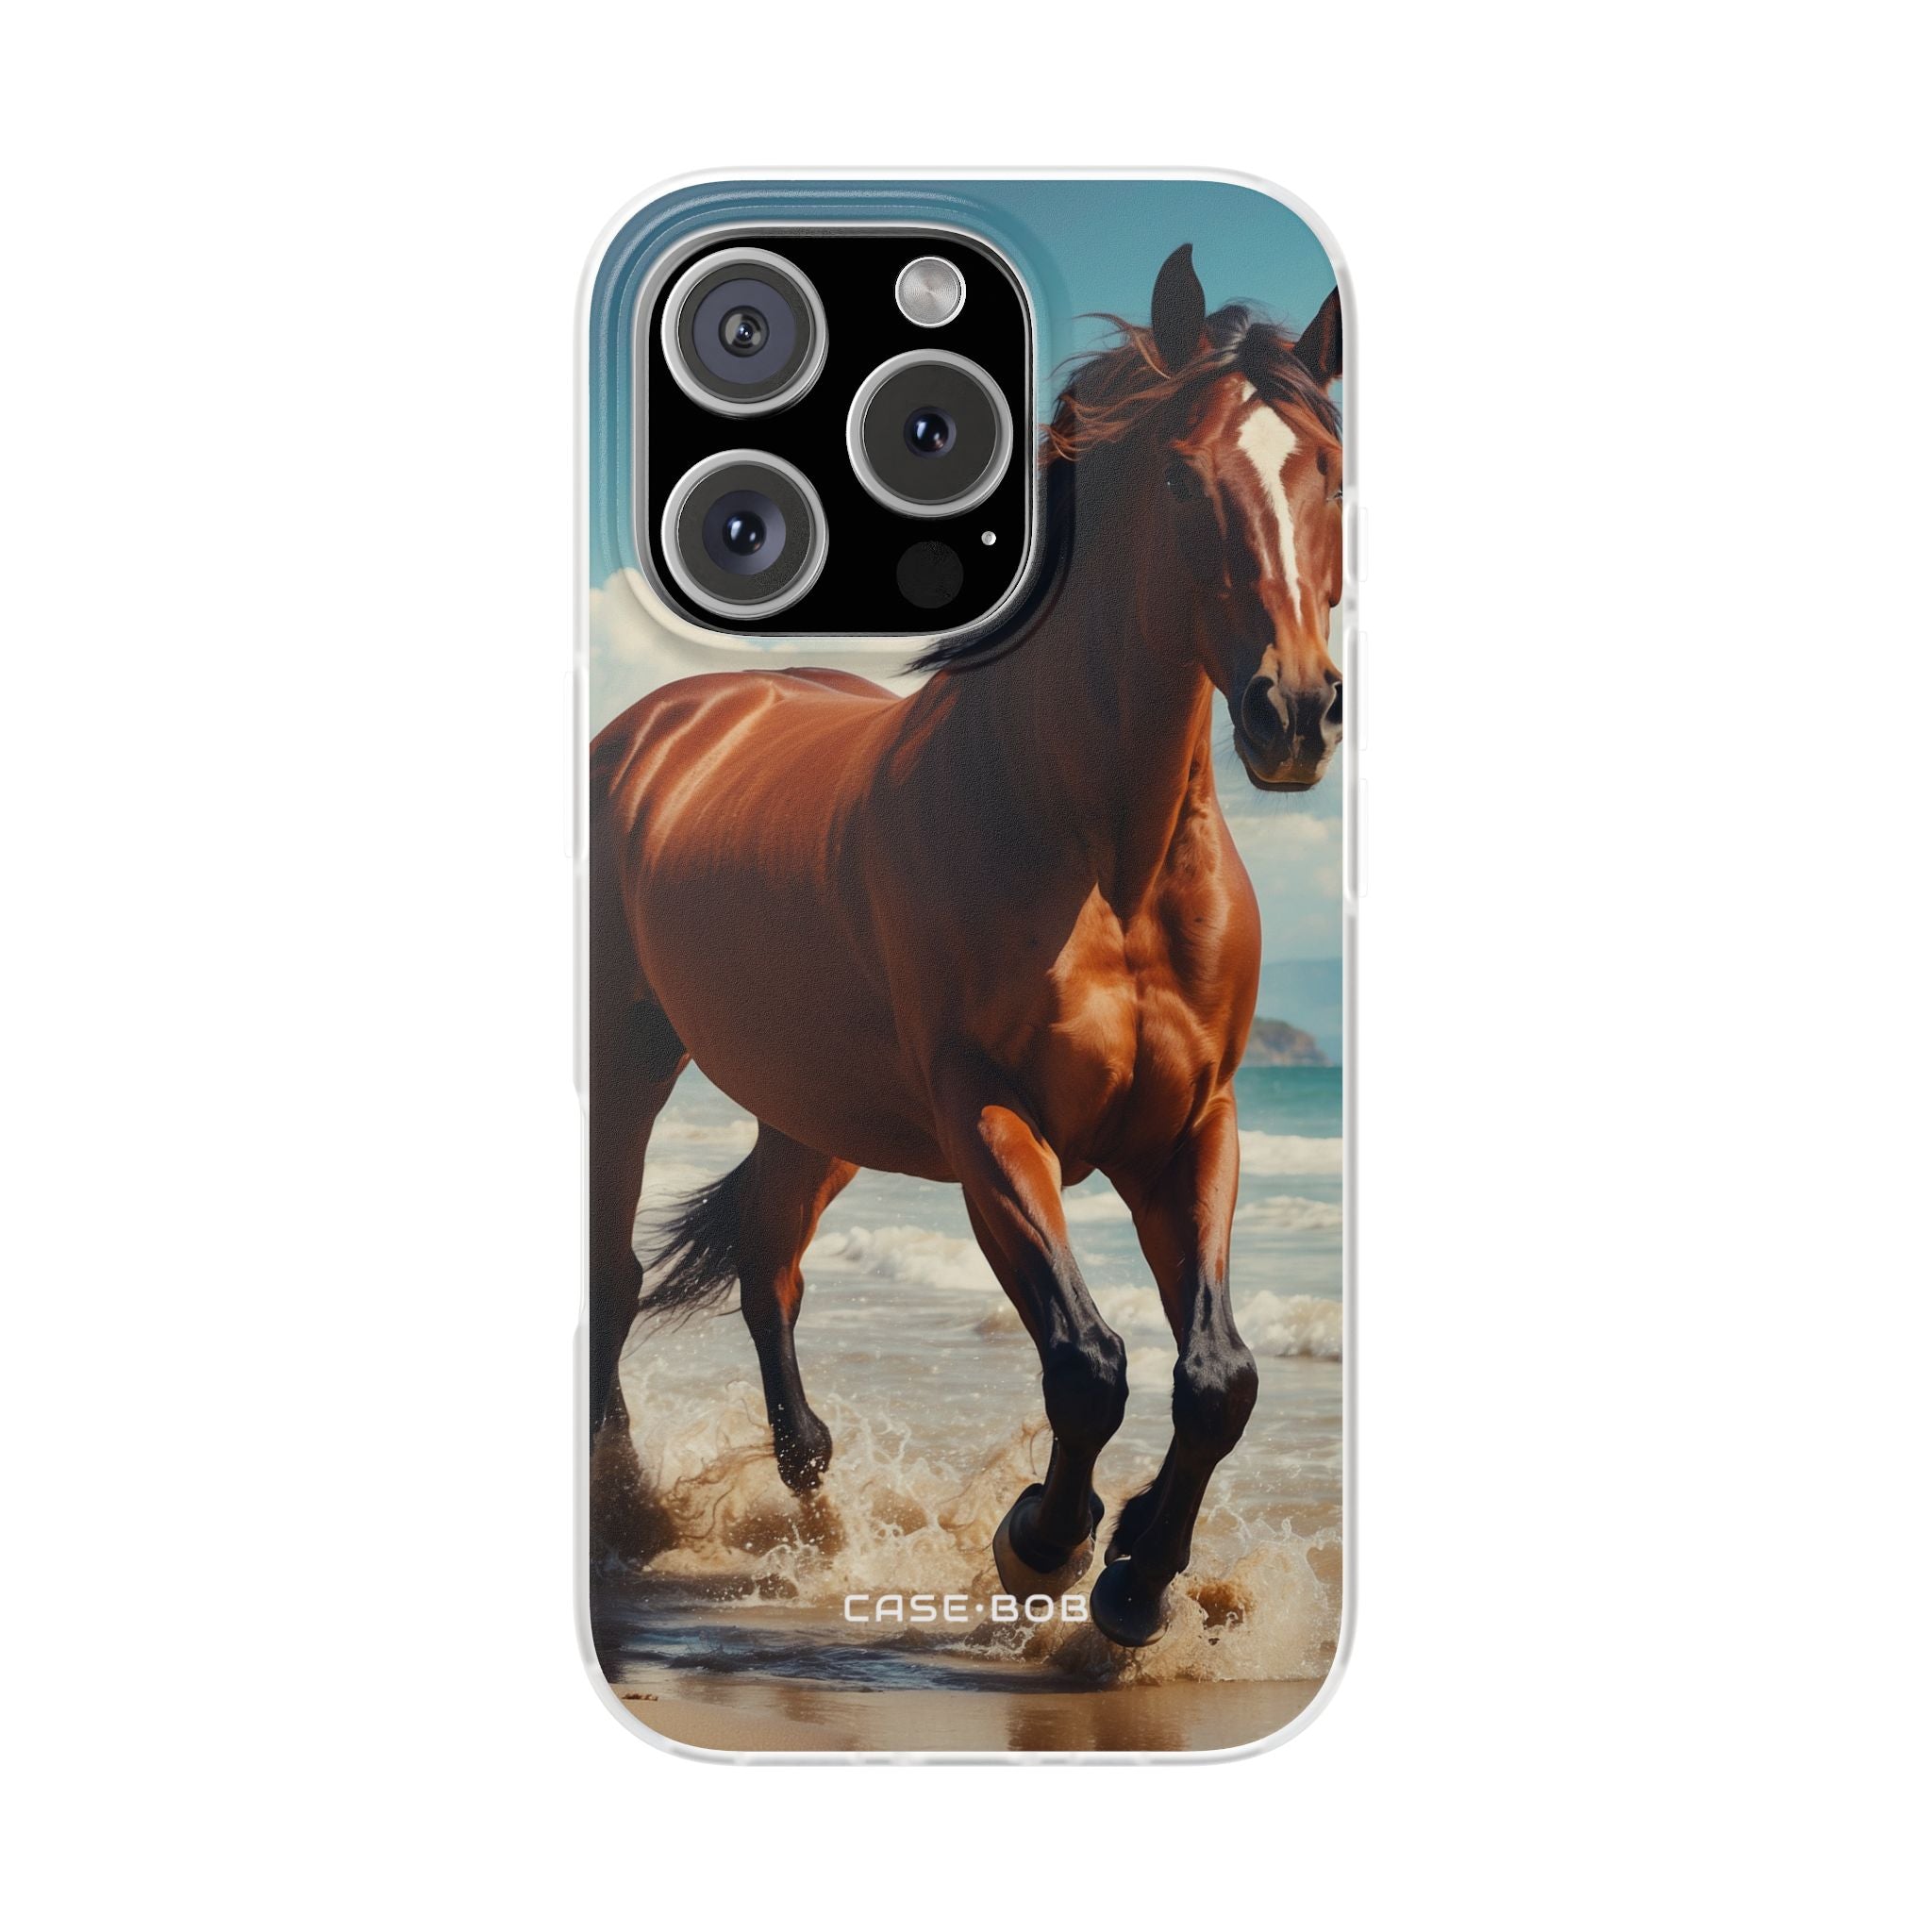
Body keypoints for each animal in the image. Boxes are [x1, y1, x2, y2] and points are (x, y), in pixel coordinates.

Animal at [587, 243, 1343, 1647]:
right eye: (1179, 475)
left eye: (1327, 464)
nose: (1296, 711)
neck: (1099, 851)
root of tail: (662, 721)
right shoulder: (990, 1119)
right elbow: (1088, 1364)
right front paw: (1044, 1539)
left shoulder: (1191, 1127)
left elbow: (1217, 1377)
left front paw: (1139, 1575)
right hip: (631, 1062)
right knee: (616, 1276)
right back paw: (631, 1513)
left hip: (812, 1110)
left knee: (768, 1270)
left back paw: (814, 1503)